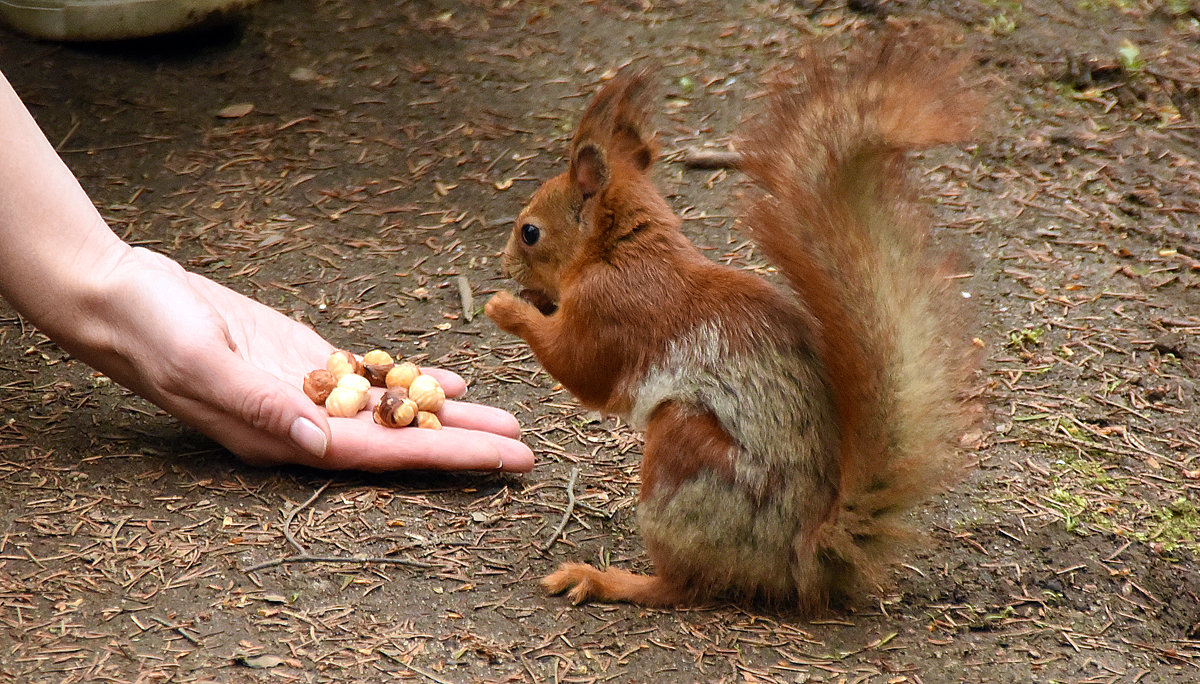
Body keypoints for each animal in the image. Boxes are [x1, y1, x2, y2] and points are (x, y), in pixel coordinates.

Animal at [487, 36, 984, 612]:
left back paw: (605, 579)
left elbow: (581, 368)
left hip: (685, 456)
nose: (505, 264)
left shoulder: (611, 312)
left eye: (530, 232)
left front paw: (507, 308)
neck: (624, 252)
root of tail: (804, 557)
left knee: (683, 585)